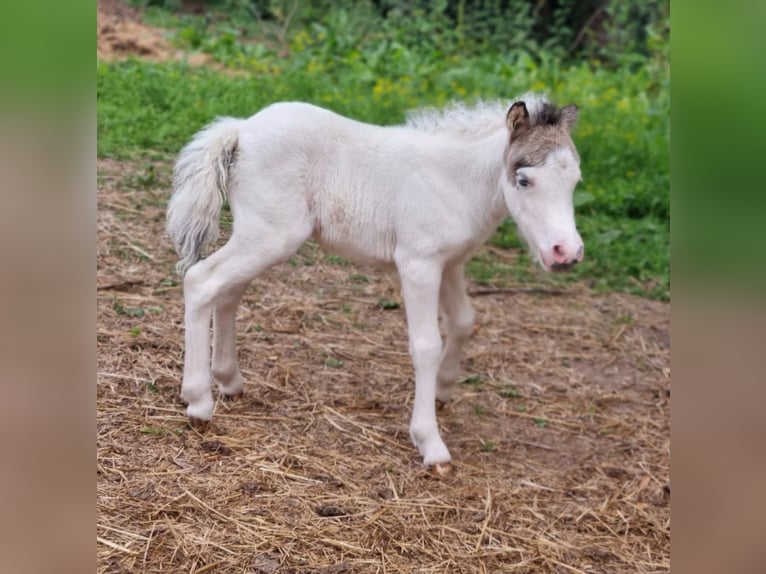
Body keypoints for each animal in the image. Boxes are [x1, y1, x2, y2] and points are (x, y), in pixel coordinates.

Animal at [166, 94, 584, 467]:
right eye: (524, 179)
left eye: (576, 181)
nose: (566, 252)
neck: (454, 182)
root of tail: (241, 129)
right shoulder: (418, 264)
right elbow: (426, 345)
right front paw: (430, 442)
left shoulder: (450, 263)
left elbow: (465, 321)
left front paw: (444, 388)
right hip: (271, 236)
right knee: (201, 281)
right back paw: (199, 401)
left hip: (257, 236)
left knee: (227, 292)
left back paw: (229, 380)